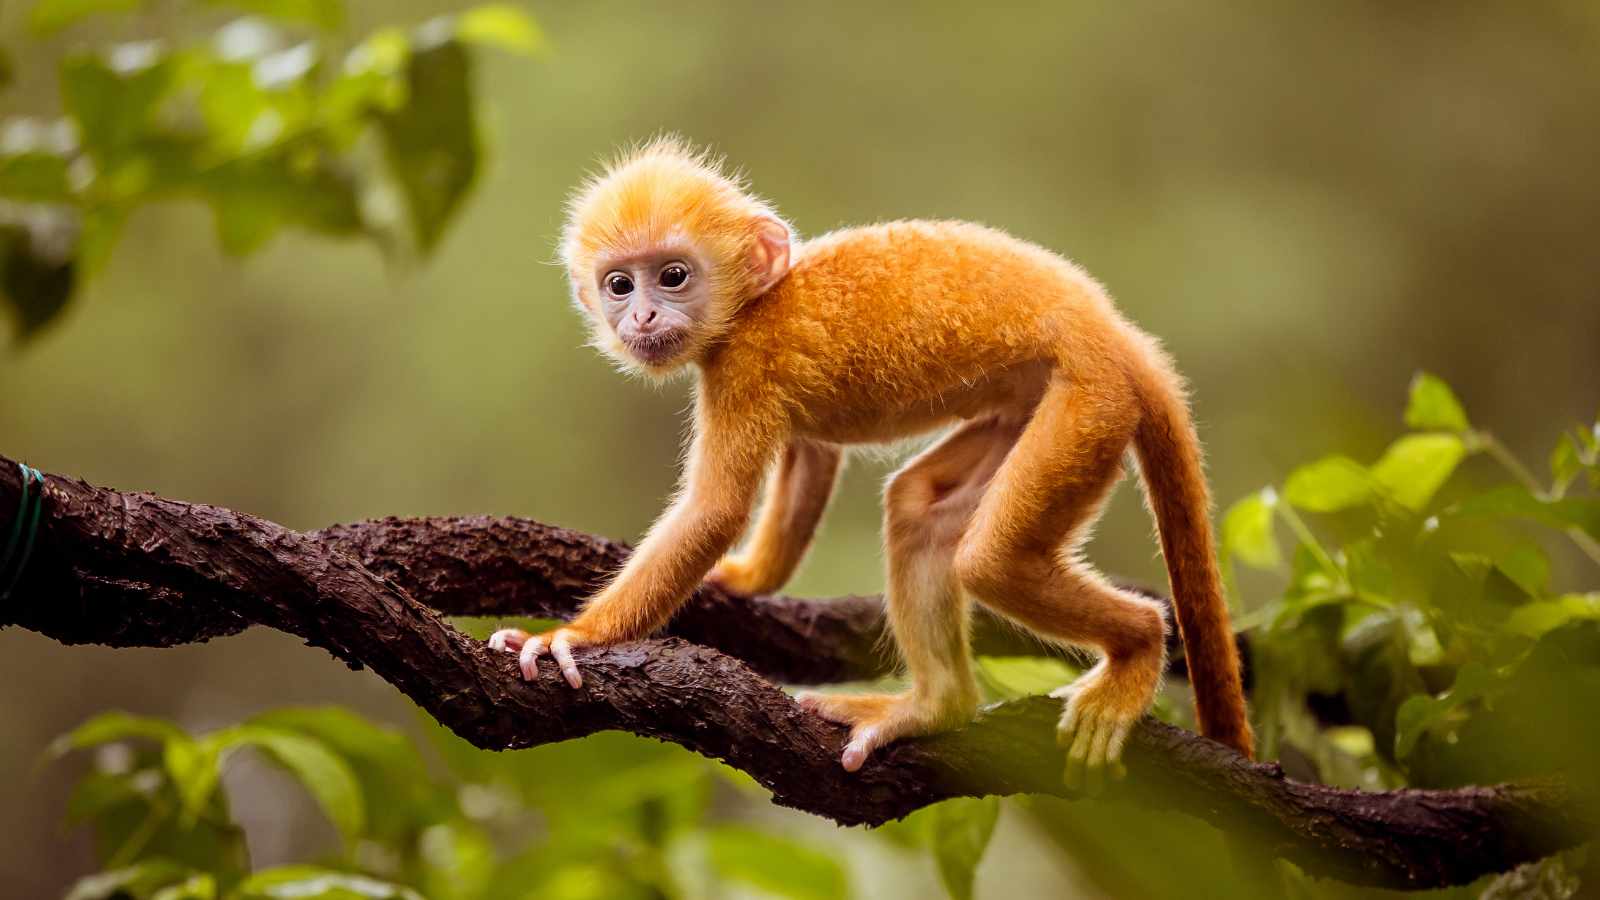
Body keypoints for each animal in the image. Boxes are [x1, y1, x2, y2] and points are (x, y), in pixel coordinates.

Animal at [487, 137, 1253, 782]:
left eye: (672, 276)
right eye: (620, 284)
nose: (640, 317)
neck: (755, 303)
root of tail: (1115, 334)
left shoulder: (745, 366)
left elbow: (715, 510)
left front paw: (574, 638)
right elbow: (811, 455)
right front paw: (743, 578)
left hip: (1089, 404)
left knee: (991, 561)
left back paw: (1138, 647)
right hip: (1038, 406)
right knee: (921, 510)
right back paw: (937, 706)